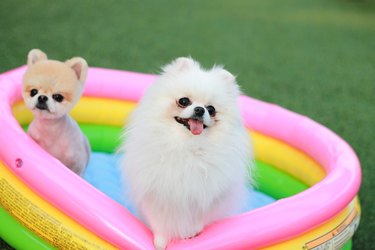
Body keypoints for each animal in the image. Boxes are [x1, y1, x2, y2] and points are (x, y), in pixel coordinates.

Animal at [122, 57, 254, 249]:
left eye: (211, 109)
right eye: (184, 101)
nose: (200, 109)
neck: (186, 146)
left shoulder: (209, 195)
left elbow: (200, 216)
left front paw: (192, 232)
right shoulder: (155, 192)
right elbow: (159, 222)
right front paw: (160, 242)